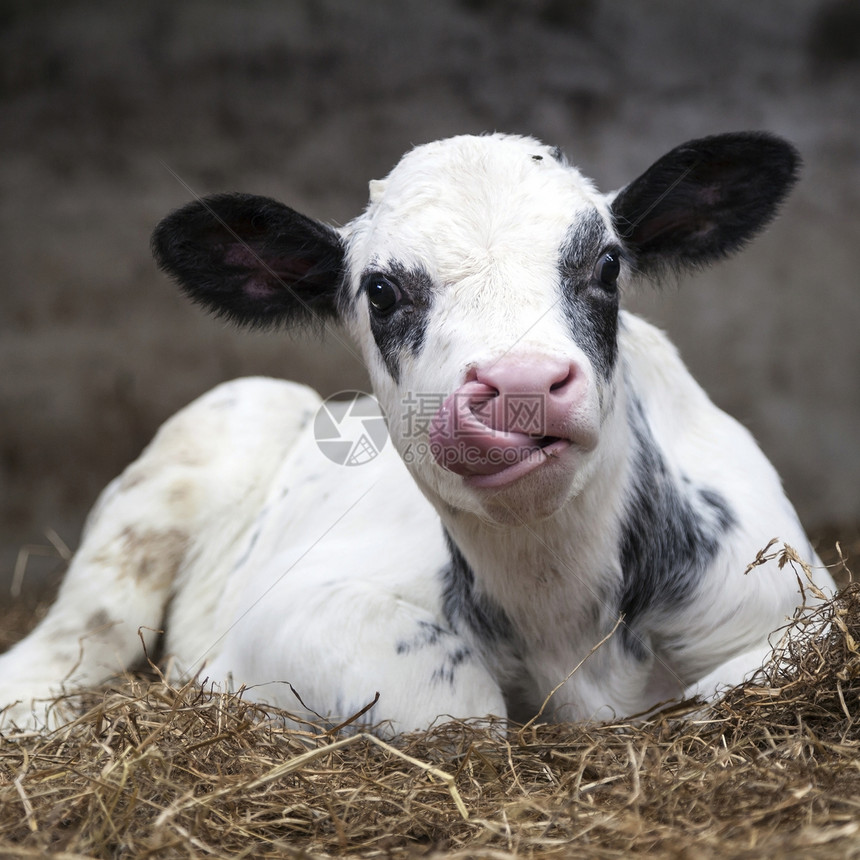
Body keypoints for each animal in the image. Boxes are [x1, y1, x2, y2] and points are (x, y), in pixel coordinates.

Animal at [0, 133, 832, 732]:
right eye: (381, 290)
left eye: (606, 265)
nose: (521, 385)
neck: (563, 620)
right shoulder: (283, 617)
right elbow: (455, 704)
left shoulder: (797, 605)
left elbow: (735, 683)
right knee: (74, 637)